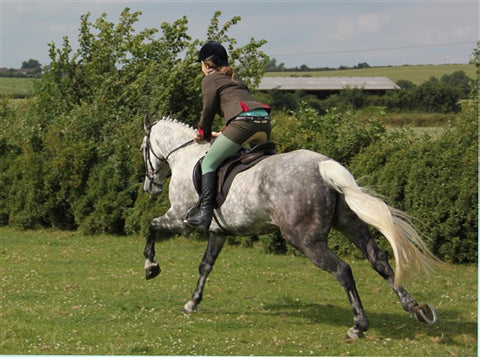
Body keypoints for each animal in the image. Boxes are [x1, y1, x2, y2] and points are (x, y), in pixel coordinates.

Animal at [140, 115, 438, 338]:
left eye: (143, 149)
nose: (149, 188)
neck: (184, 155)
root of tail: (323, 166)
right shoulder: (218, 231)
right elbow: (205, 266)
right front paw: (192, 302)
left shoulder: (180, 219)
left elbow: (152, 226)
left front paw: (151, 267)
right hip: (350, 224)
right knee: (379, 259)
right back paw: (415, 308)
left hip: (306, 240)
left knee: (343, 270)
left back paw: (359, 325)